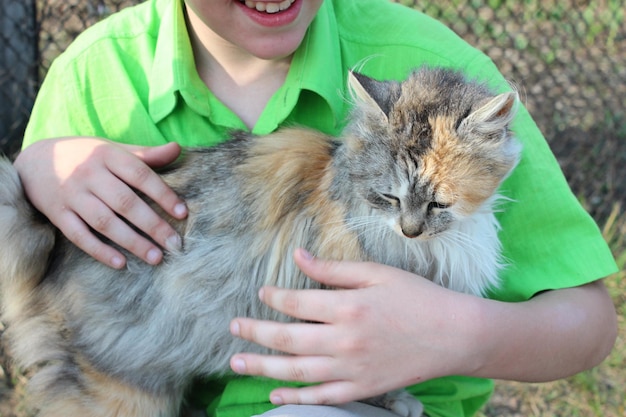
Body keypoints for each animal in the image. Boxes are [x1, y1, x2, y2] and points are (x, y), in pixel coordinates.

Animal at [0, 66, 520, 414]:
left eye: (439, 203)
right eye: (388, 197)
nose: (410, 229)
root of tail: (52, 243)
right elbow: (372, 375)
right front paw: (395, 399)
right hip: (121, 391)